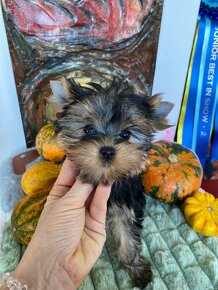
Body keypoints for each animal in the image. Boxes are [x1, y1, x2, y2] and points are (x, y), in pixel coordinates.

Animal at [49, 77, 172, 288]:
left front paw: (136, 268)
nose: (107, 150)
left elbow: (127, 236)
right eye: (88, 129)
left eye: (126, 134)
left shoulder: (127, 206)